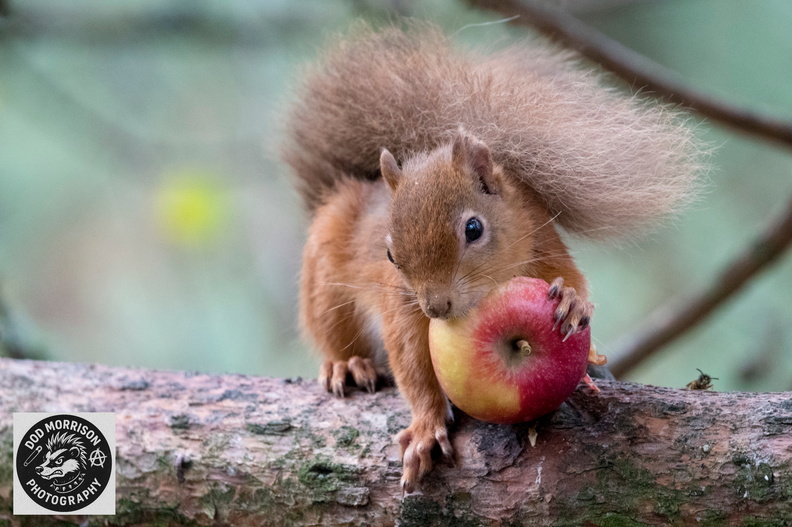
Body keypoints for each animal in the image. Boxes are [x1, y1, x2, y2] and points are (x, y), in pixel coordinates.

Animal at [281, 22, 705, 493]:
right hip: (325, 288)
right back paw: (348, 365)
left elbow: (571, 277)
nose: (437, 306)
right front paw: (426, 426)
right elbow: (411, 360)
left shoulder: (540, 237)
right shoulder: (401, 302)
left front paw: (573, 301)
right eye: (389, 254)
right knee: (336, 335)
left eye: (473, 229)